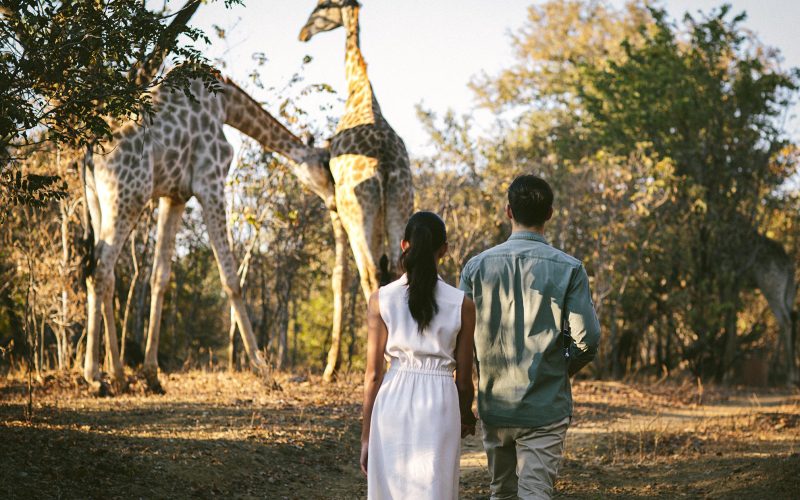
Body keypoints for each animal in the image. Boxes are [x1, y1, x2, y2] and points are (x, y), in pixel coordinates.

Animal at [82, 71, 334, 393]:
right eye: (326, 166)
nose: (335, 201)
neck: (225, 105)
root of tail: (89, 155)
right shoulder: (210, 181)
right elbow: (231, 279)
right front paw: (264, 371)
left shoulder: (174, 196)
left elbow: (159, 277)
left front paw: (152, 374)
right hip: (128, 198)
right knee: (100, 271)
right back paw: (95, 376)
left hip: (98, 203)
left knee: (107, 274)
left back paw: (118, 375)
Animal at [299, 0, 415, 381]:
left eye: (321, 6)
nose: (302, 33)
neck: (361, 93)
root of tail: (383, 168)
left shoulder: (342, 207)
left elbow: (347, 275)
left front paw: (331, 367)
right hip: (399, 205)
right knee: (396, 267)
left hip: (358, 215)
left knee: (369, 274)